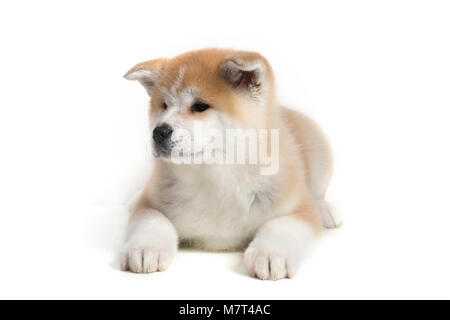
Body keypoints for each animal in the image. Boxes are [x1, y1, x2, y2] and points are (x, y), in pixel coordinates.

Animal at [119, 48, 338, 280]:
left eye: (200, 106)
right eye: (164, 106)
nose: (158, 132)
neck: (216, 177)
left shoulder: (298, 206)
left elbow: (281, 225)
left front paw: (270, 253)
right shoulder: (152, 202)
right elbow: (152, 220)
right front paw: (145, 248)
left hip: (320, 153)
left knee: (317, 193)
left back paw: (326, 211)